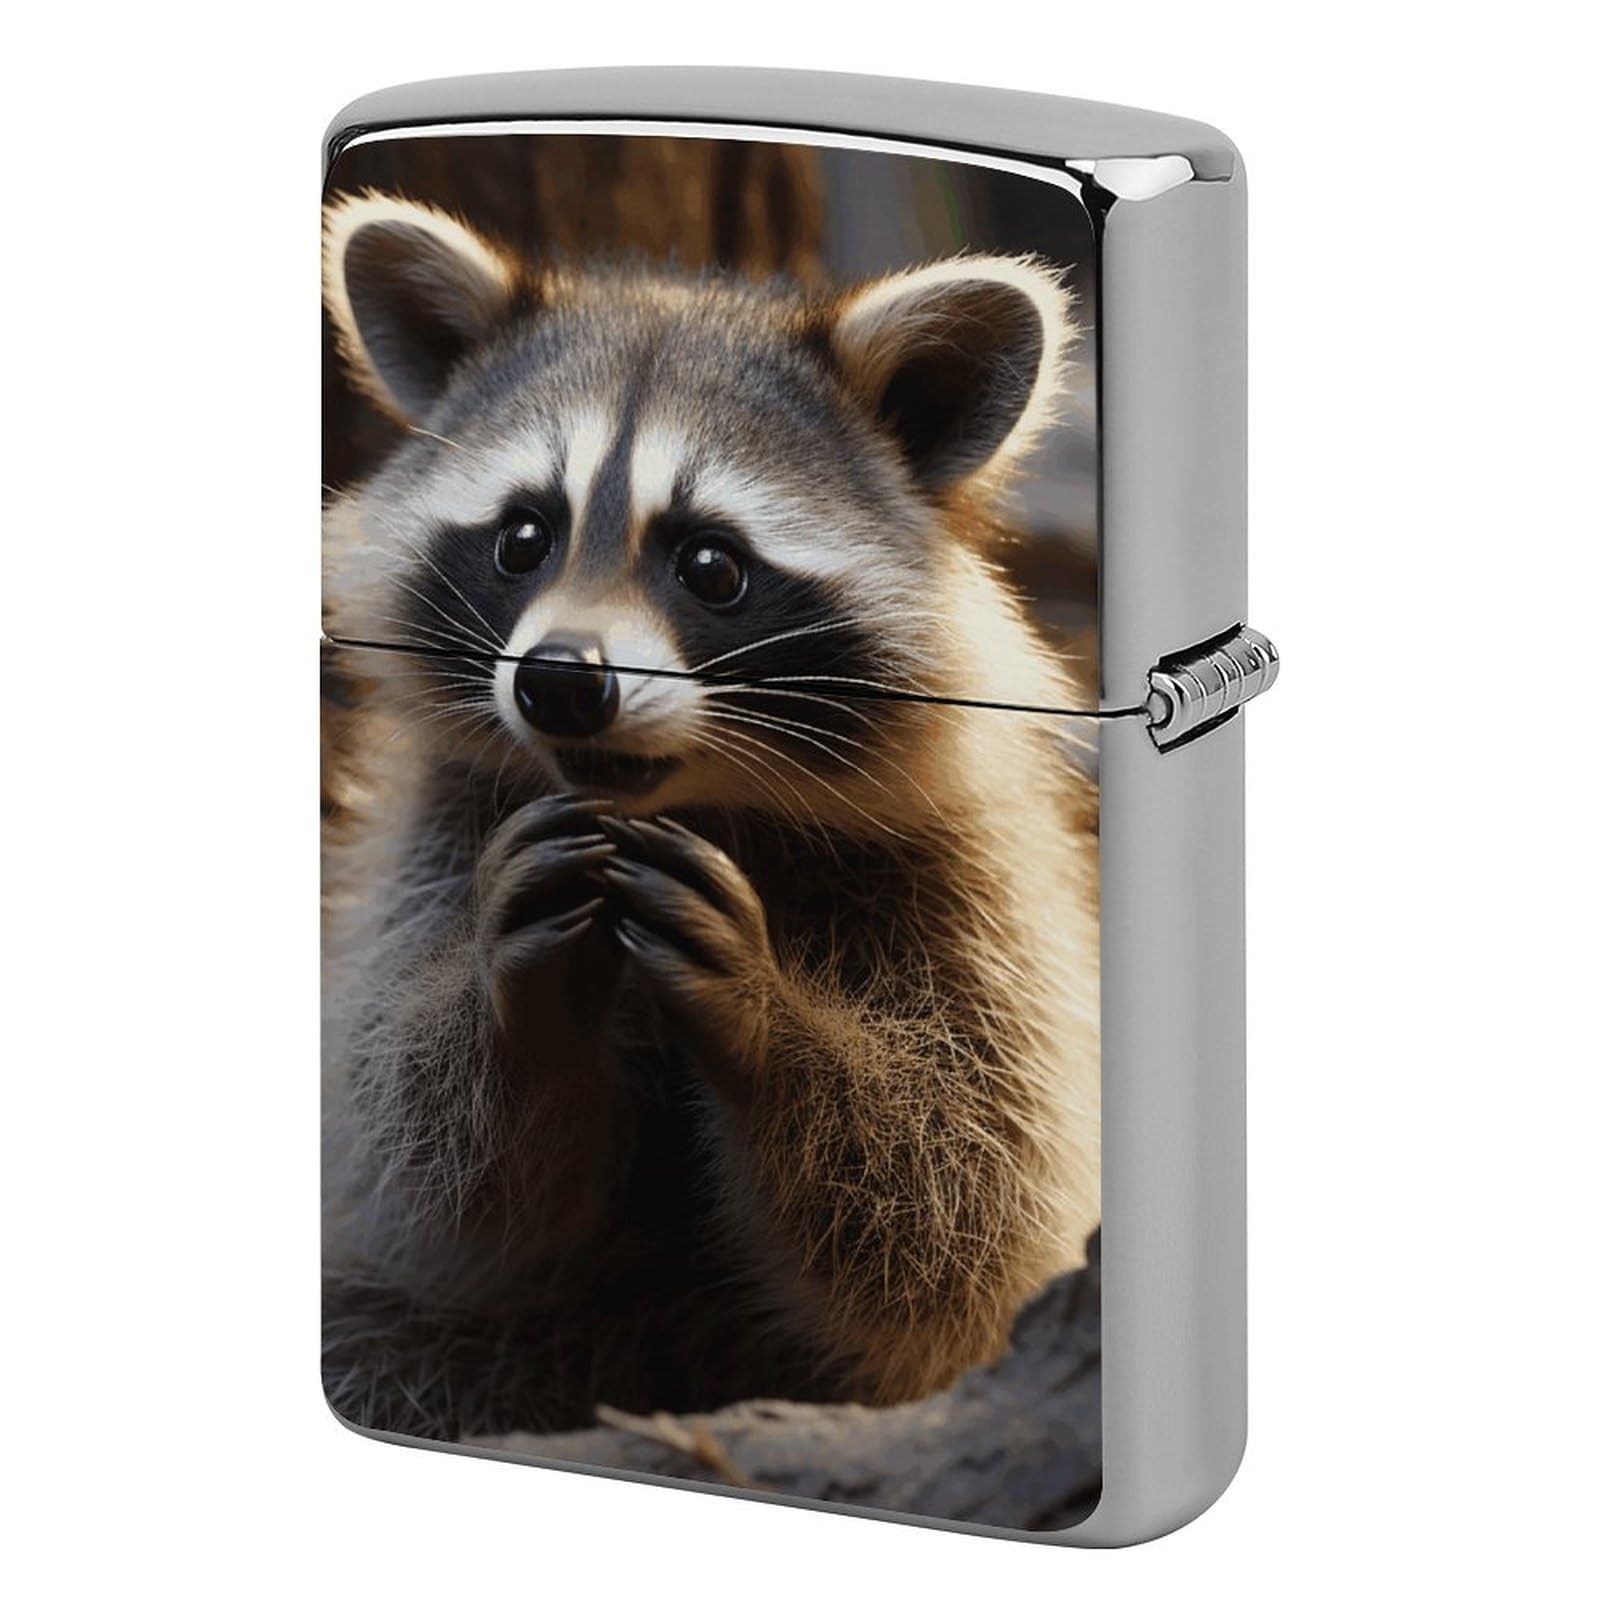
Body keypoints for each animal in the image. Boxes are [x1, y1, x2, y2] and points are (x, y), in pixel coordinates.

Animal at [320, 192, 1101, 1440]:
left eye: (711, 567)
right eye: (523, 537)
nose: (561, 681)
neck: (682, 797)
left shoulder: (974, 889)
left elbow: (959, 1200)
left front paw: (769, 1017)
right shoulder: (435, 848)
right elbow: (416, 1156)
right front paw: (510, 994)